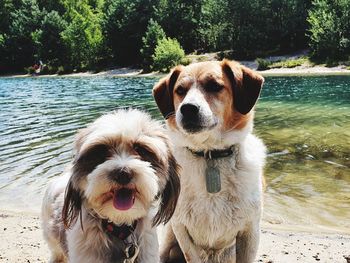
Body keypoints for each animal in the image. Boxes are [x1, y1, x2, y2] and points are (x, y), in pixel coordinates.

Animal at [152, 60, 266, 263]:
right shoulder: (181, 228)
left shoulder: (250, 231)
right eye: (180, 90)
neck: (209, 154)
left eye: (214, 86)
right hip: (168, 241)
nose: (187, 108)